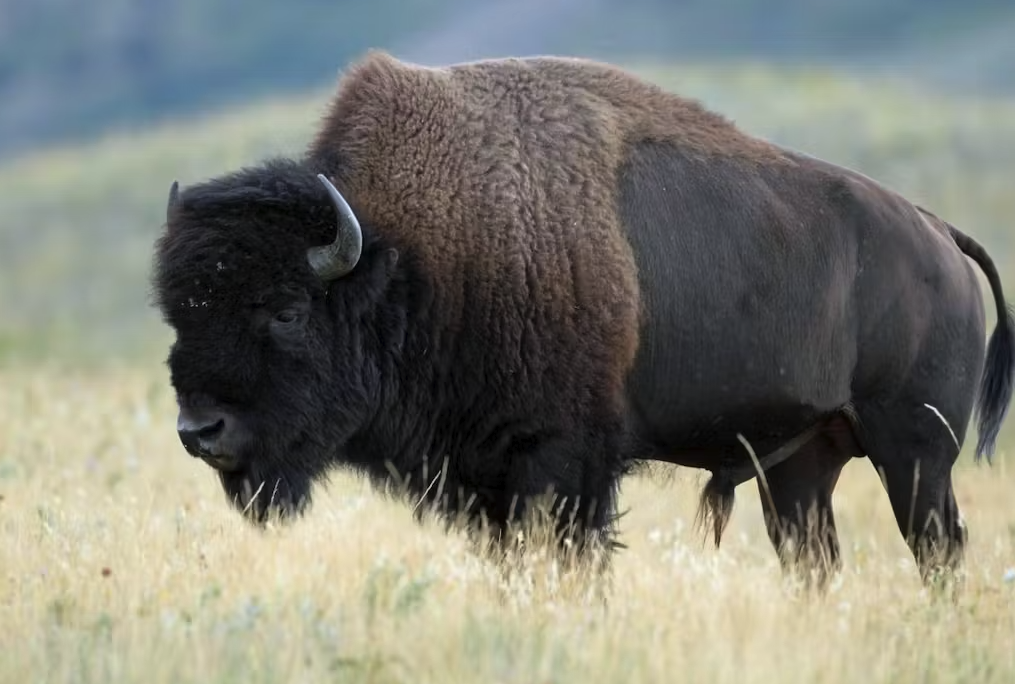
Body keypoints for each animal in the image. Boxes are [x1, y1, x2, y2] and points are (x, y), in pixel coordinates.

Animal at [152, 52, 1015, 584]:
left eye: (288, 310)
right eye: (175, 313)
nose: (200, 431)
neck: (412, 256)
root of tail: (938, 233)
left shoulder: (562, 463)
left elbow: (572, 556)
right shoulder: (486, 478)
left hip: (913, 452)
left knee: (937, 548)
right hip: (801, 466)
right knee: (814, 560)